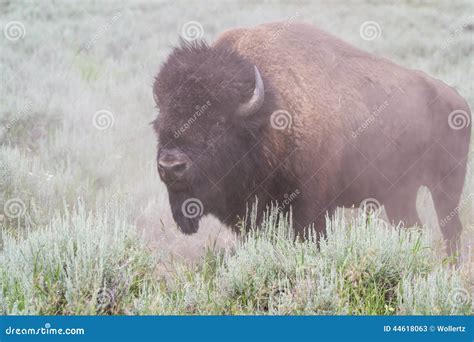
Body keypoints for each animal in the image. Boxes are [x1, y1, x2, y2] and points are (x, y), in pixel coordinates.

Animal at [154, 22, 472, 256]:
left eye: (219, 122)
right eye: (160, 124)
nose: (171, 166)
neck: (270, 110)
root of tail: (456, 99)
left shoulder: (312, 207)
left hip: (446, 186)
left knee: (450, 228)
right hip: (400, 194)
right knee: (412, 227)